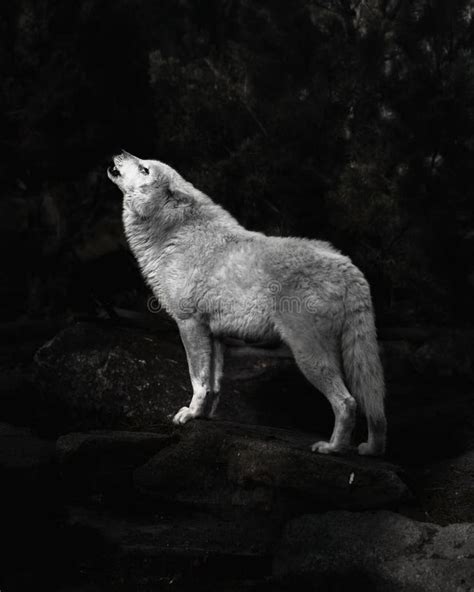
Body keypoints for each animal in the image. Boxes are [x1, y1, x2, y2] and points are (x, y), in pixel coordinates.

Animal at [106, 150, 386, 456]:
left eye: (145, 169)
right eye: (140, 161)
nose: (121, 152)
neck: (174, 233)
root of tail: (349, 268)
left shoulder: (189, 324)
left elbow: (197, 380)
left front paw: (189, 415)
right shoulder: (214, 335)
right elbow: (213, 385)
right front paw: (203, 417)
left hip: (309, 356)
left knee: (347, 402)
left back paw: (331, 448)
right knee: (371, 407)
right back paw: (369, 449)